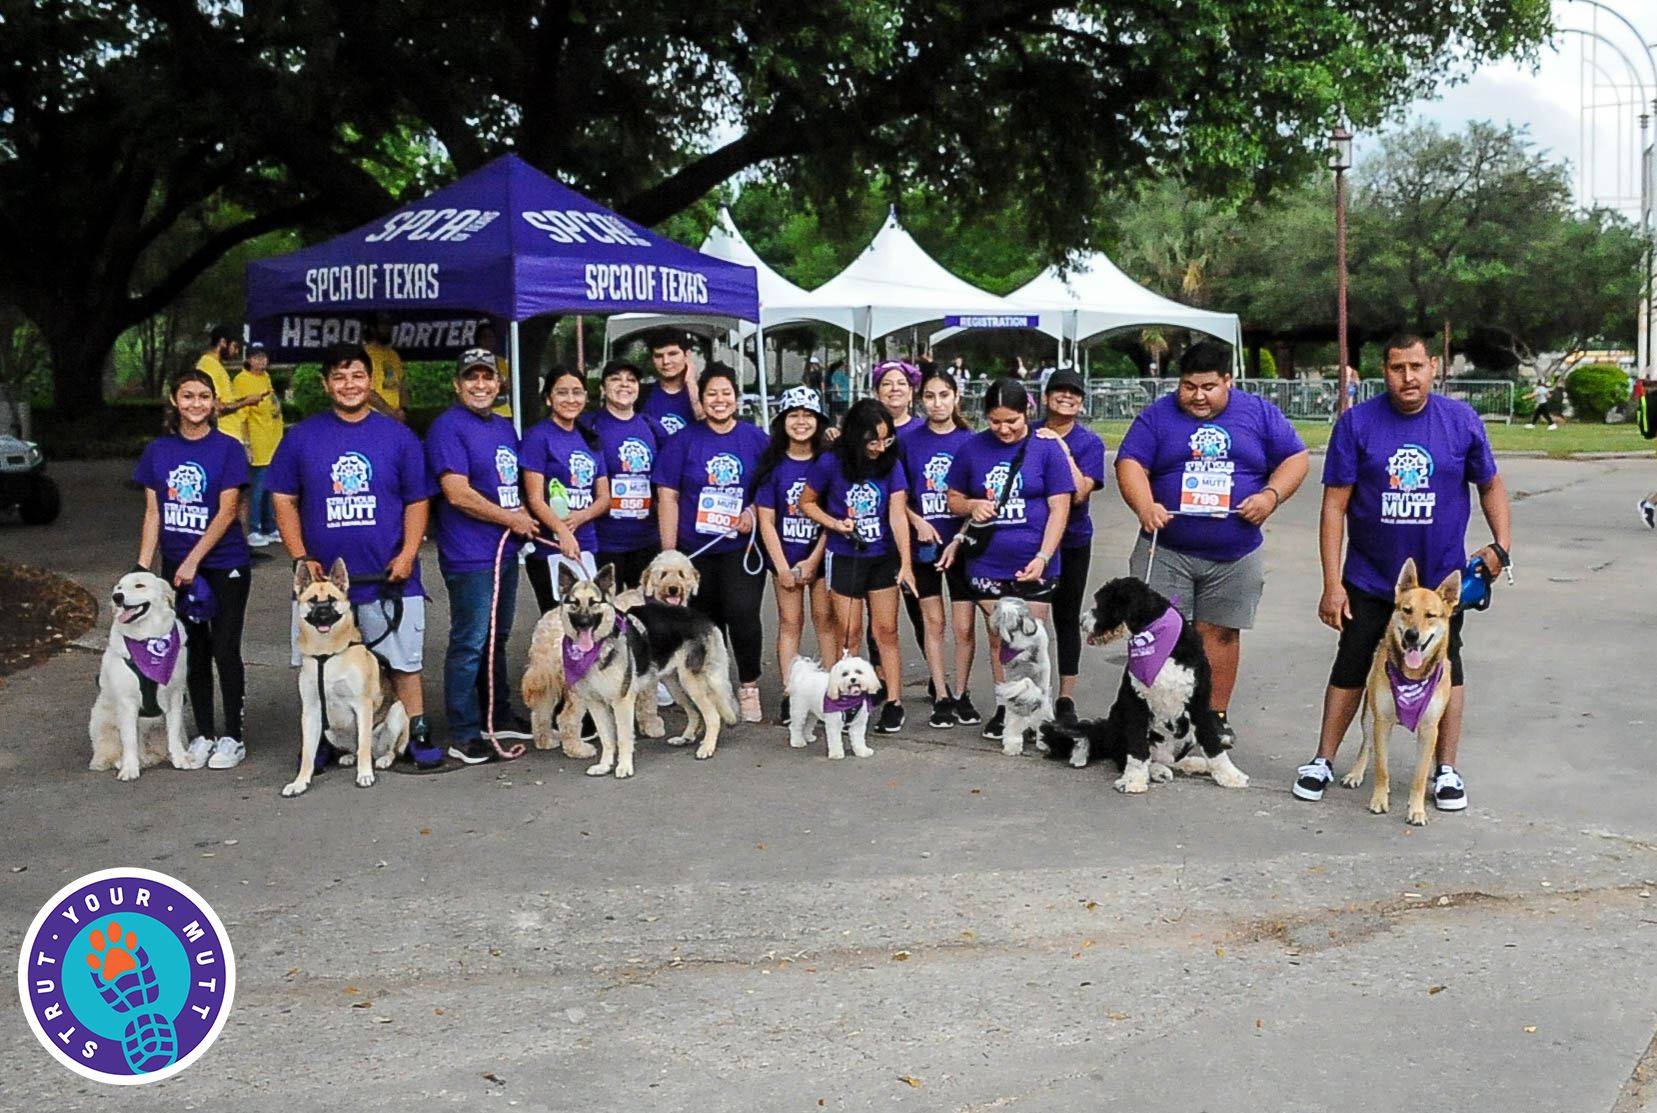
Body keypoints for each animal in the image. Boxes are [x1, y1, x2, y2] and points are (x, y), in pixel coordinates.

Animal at [88, 569, 198, 778]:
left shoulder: (175, 695)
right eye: (119, 587)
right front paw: (130, 768)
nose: (117, 597)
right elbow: (130, 739)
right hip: (102, 717)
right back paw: (121, 761)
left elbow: (173, 733)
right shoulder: (127, 702)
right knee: (112, 750)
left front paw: (180, 758)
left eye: (139, 585)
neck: (147, 638)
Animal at [283, 559, 409, 795]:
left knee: (386, 750)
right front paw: (300, 782)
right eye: (312, 601)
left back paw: (383, 759)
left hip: (397, 714)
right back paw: (350, 756)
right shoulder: (311, 711)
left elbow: (364, 743)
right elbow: (308, 755)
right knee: (357, 749)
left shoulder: (363, 705)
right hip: (329, 730)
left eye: (332, 601)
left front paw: (365, 774)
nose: (324, 614)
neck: (326, 654)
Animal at [987, 599, 1053, 755]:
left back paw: (1010, 749)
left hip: (1013, 717)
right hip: (1045, 716)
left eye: (997, 609)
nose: (994, 604)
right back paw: (1044, 745)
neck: (1021, 631)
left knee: (1013, 735)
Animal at [1040, 573, 1246, 791]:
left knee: (1172, 760)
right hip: (1119, 720)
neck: (1155, 639)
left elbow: (1213, 744)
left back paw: (1194, 764)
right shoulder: (1135, 703)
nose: (1081, 621)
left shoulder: (1199, 702)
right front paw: (1133, 781)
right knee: (1129, 757)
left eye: (1101, 602)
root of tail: (1106, 730)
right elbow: (1137, 748)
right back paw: (1159, 771)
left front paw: (1230, 775)